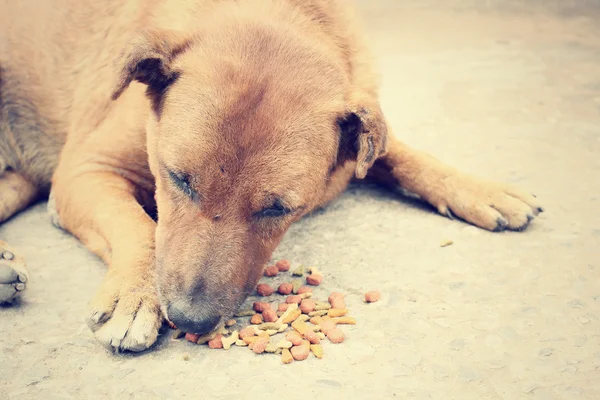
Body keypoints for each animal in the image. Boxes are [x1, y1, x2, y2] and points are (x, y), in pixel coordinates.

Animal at [1, 0, 544, 350]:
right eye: (178, 179)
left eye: (278, 209)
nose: (190, 318)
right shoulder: (85, 172)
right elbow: (138, 227)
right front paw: (135, 296)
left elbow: (400, 153)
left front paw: (480, 188)